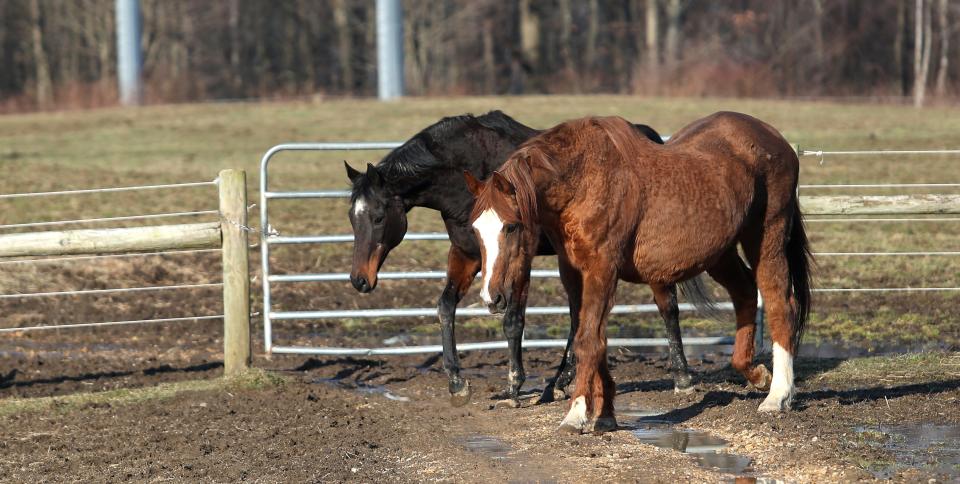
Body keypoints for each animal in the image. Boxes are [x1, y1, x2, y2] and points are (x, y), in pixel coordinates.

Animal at [344, 111, 704, 406]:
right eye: (352, 216)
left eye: (378, 216)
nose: (359, 279)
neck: (466, 174)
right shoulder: (467, 254)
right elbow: (445, 307)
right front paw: (457, 383)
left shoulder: (520, 257)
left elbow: (513, 321)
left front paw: (514, 387)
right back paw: (558, 383)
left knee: (665, 305)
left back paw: (680, 378)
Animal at [468, 112, 812, 432]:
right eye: (475, 229)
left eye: (511, 226)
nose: (491, 298)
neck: (582, 180)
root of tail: (775, 140)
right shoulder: (573, 273)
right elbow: (594, 338)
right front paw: (605, 415)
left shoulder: (601, 269)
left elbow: (587, 340)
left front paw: (577, 414)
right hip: (719, 253)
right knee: (745, 293)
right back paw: (755, 373)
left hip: (765, 238)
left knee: (780, 304)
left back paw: (778, 396)